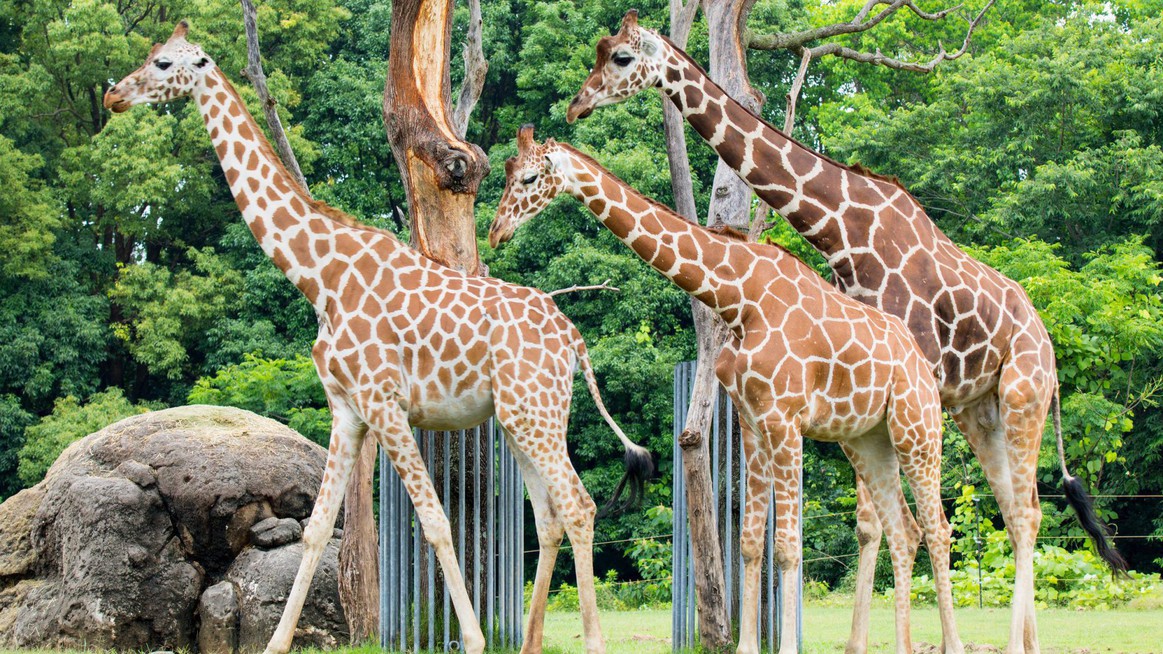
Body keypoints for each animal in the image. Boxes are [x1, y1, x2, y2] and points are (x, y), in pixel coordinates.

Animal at [102, 21, 655, 651]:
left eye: (164, 63)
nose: (114, 95)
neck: (318, 276)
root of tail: (574, 339)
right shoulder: (347, 408)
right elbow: (318, 528)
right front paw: (274, 642)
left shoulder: (384, 403)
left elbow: (436, 521)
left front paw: (473, 640)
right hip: (523, 418)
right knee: (551, 514)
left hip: (534, 415)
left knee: (579, 505)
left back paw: (589, 640)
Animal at [490, 126, 962, 651]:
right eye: (506, 172)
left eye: (529, 177)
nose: (496, 231)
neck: (738, 297)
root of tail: (923, 366)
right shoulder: (753, 422)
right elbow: (751, 541)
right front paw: (748, 645)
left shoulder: (785, 420)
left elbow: (788, 547)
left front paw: (787, 645)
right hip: (867, 440)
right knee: (905, 530)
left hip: (917, 431)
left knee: (938, 529)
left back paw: (954, 643)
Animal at [567, 11, 1130, 651]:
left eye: (620, 59)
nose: (577, 105)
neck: (843, 231)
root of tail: (1048, 341)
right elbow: (871, 525)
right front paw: (862, 640)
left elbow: (880, 523)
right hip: (977, 410)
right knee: (1017, 508)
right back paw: (1028, 640)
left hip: (1021, 398)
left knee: (1028, 511)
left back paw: (1014, 640)